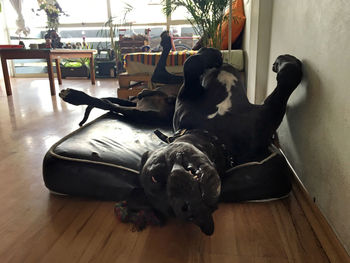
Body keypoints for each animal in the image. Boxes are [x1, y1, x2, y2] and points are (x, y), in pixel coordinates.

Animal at [138, 50, 302, 236]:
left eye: (155, 177)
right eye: (173, 211)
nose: (184, 207)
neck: (215, 136)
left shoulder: (186, 98)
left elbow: (190, 64)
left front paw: (211, 54)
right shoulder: (266, 122)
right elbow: (289, 77)